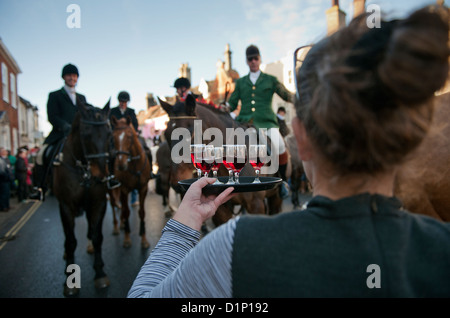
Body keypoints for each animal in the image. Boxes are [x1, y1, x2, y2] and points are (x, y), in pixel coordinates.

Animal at [52, 100, 112, 296]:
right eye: (85, 134)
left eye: (109, 134)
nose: (101, 177)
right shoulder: (65, 205)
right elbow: (71, 241)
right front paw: (69, 281)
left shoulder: (99, 202)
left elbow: (97, 236)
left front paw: (100, 273)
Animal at [110, 116, 152, 248]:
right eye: (113, 137)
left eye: (129, 136)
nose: (121, 165)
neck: (134, 163)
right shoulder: (124, 189)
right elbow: (127, 212)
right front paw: (127, 238)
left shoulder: (143, 188)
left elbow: (142, 212)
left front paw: (144, 239)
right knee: (114, 205)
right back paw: (117, 226)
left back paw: (122, 223)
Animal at [158, 93, 284, 227]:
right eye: (166, 134)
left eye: (191, 134)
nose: (175, 184)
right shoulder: (220, 210)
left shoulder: (256, 205)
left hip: (275, 197)